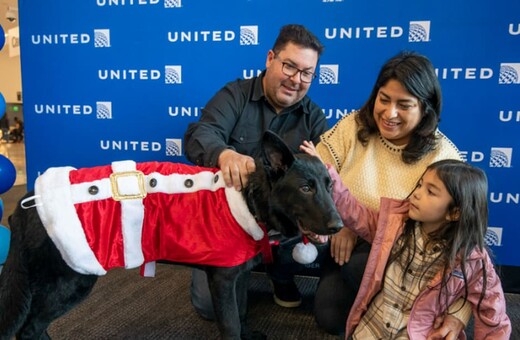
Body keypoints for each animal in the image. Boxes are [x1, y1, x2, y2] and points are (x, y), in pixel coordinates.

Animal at [0, 131, 342, 340]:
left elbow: (242, 310)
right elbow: (230, 323)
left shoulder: (239, 276)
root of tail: (27, 202)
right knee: (29, 328)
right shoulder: (222, 280)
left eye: (330, 186)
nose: (339, 225)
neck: (249, 198)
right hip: (72, 280)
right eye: (306, 188)